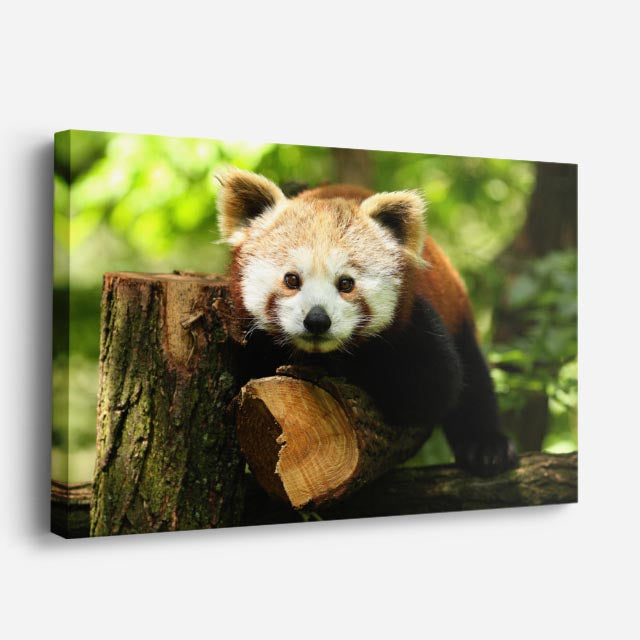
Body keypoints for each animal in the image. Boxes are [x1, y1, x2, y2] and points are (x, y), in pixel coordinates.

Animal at [217, 168, 518, 477]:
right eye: (292, 279)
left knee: (474, 377)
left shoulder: (417, 326)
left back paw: (486, 447)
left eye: (346, 283)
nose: (317, 320)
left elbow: (433, 389)